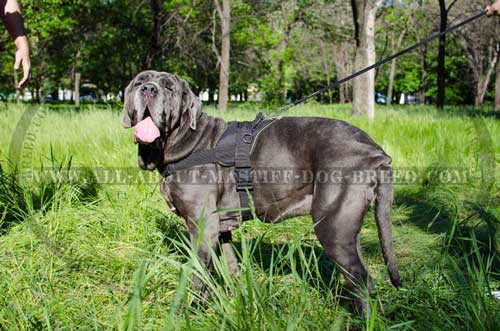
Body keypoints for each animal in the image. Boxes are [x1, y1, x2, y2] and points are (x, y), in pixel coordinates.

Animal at [122, 71, 402, 312]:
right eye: (139, 82)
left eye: (169, 87)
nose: (148, 89)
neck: (185, 141)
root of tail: (376, 152)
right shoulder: (221, 228)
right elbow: (230, 268)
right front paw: (236, 303)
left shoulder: (203, 227)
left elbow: (197, 274)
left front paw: (185, 312)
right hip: (347, 229)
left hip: (333, 227)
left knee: (363, 282)